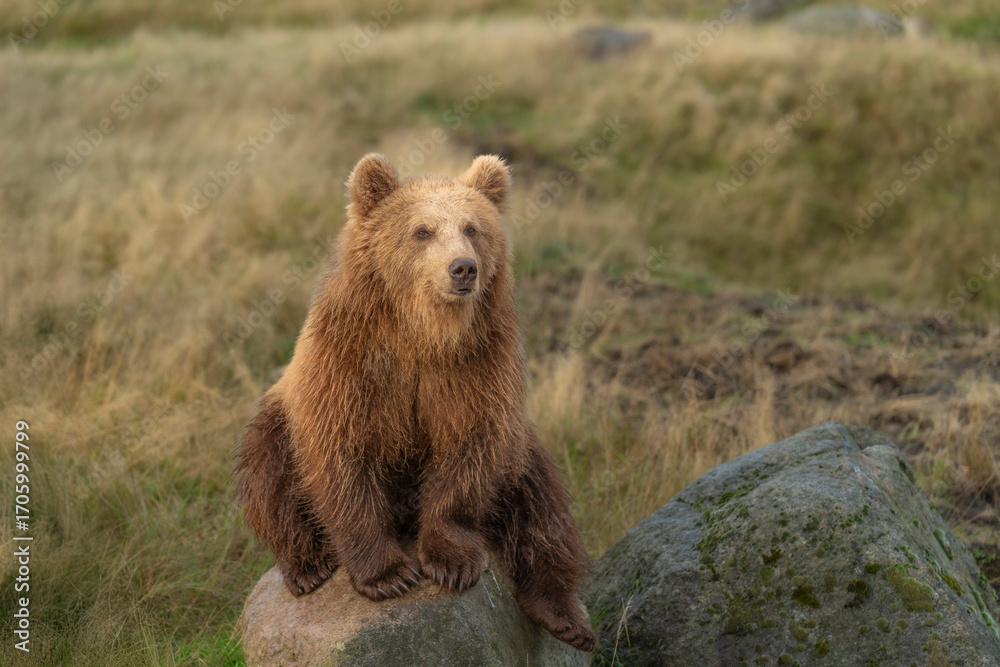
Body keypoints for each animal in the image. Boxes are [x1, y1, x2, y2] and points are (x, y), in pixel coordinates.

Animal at [234, 153, 596, 651]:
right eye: (422, 231)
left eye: (472, 227)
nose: (463, 269)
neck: (423, 334)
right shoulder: (350, 361)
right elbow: (340, 455)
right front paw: (388, 575)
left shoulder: (476, 365)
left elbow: (471, 448)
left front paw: (450, 562)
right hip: (276, 420)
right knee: (265, 471)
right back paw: (306, 565)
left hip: (523, 446)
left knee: (543, 503)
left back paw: (563, 615)